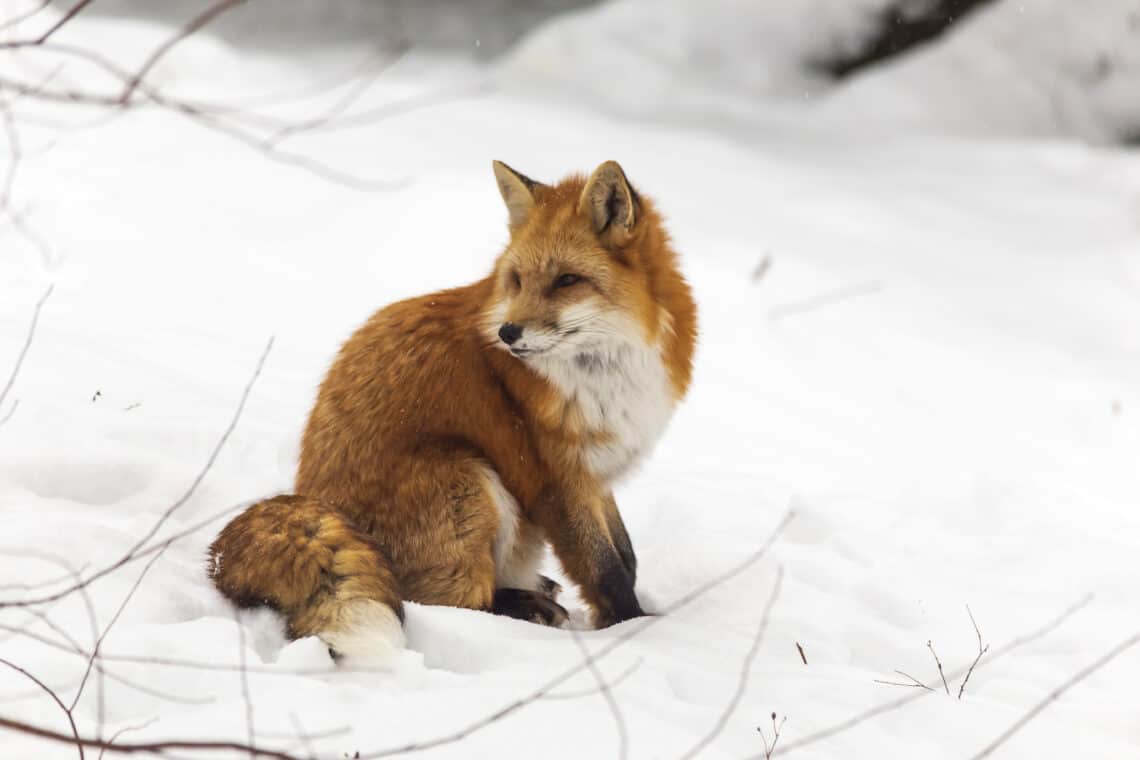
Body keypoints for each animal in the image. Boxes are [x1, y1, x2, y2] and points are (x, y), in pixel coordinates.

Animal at [209, 159, 697, 660]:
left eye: (567, 280)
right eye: (517, 280)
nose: (507, 333)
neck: (608, 373)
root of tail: (314, 502)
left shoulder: (598, 469)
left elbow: (627, 555)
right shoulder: (557, 477)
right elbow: (605, 568)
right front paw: (635, 628)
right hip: (471, 480)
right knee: (445, 600)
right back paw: (522, 605)